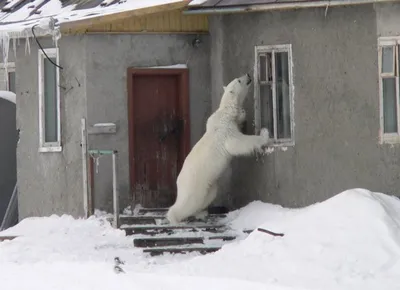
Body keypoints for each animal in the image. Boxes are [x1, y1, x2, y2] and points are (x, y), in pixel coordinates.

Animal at [166, 73, 268, 224]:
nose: (248, 75)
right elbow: (237, 143)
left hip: (209, 185)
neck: (227, 111)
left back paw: (201, 213)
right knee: (188, 202)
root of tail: (179, 182)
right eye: (239, 80)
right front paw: (265, 135)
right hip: (195, 184)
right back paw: (174, 217)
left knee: (208, 196)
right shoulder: (225, 129)